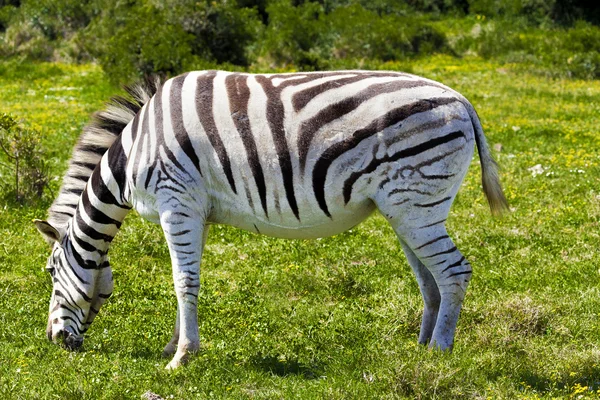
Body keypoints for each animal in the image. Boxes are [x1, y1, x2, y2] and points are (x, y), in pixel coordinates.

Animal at [35, 69, 508, 368]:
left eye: (51, 272)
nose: (55, 341)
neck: (135, 150)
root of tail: (460, 98)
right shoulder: (195, 211)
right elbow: (185, 281)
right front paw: (176, 344)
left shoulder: (176, 202)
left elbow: (182, 280)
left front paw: (181, 358)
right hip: (408, 209)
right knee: (429, 278)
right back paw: (421, 347)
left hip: (416, 204)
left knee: (453, 271)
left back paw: (440, 353)